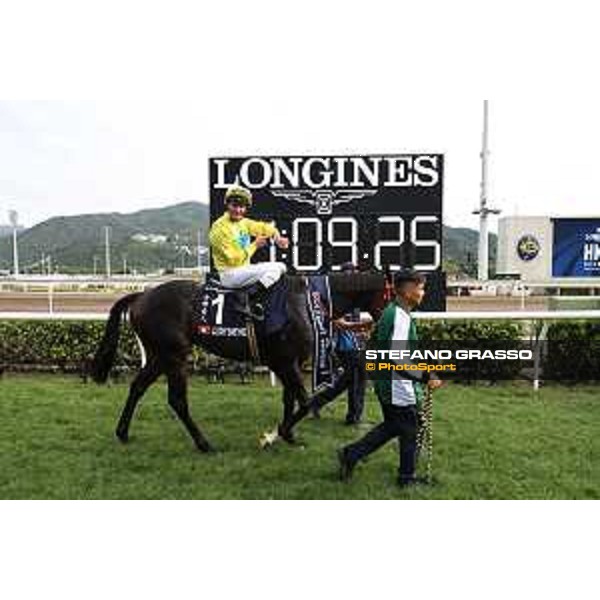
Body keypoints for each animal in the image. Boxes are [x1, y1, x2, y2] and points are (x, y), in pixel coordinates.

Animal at [89, 274, 390, 452]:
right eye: (393, 292)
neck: (307, 302)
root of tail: (141, 295)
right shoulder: (285, 362)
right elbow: (306, 402)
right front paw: (276, 434)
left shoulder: (286, 361)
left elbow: (290, 400)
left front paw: (288, 435)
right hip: (173, 355)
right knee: (177, 400)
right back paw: (204, 444)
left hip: (157, 355)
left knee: (138, 387)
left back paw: (123, 433)